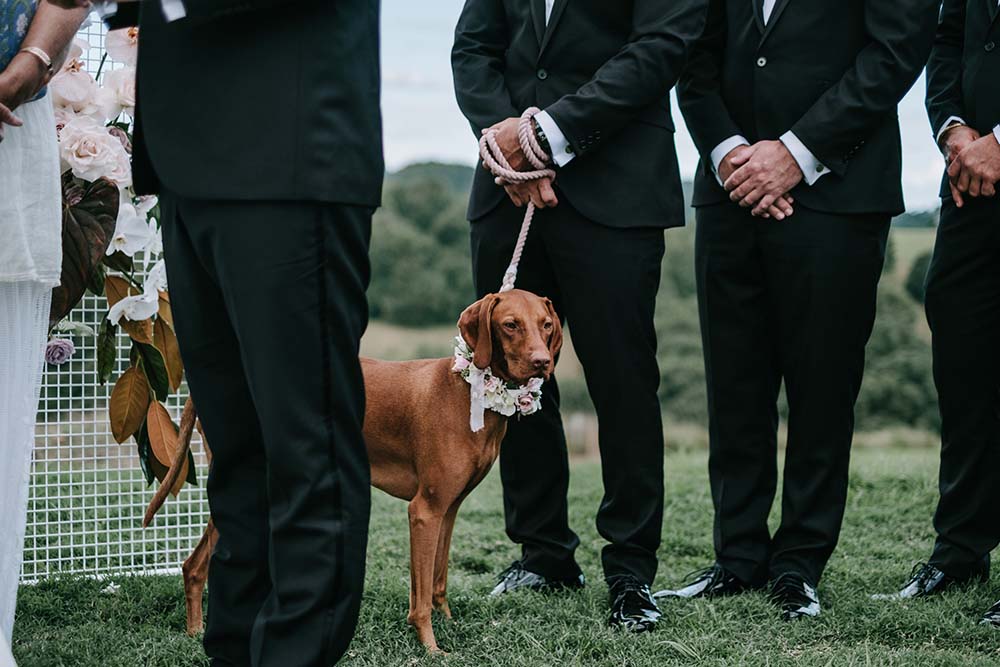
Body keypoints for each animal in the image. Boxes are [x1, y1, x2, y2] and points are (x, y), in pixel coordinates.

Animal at [146, 288, 564, 652]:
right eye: (510, 325)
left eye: (546, 325)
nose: (542, 362)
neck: (471, 389)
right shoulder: (424, 511)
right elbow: (421, 597)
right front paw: (430, 647)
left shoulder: (448, 510)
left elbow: (436, 581)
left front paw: (446, 623)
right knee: (197, 563)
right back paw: (201, 632)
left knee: (195, 565)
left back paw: (199, 632)